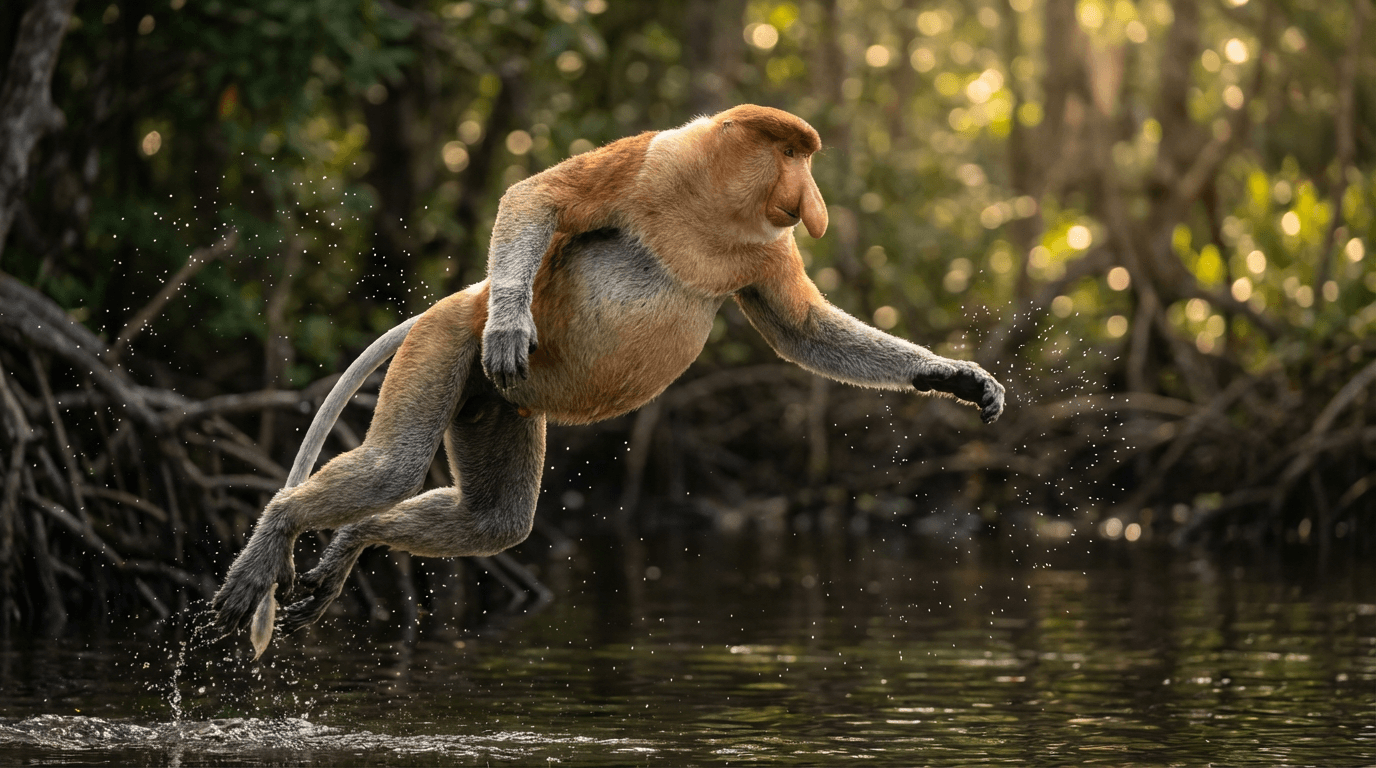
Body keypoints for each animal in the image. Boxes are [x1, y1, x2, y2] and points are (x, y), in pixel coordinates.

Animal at [211, 105, 1005, 659]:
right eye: (789, 154)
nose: (811, 203)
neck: (713, 201)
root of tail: (456, 299)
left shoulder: (762, 245)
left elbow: (800, 330)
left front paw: (960, 378)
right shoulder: (650, 162)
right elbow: (538, 194)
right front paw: (511, 326)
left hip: (493, 403)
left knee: (495, 519)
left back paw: (351, 544)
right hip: (446, 343)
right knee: (393, 467)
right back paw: (280, 530)